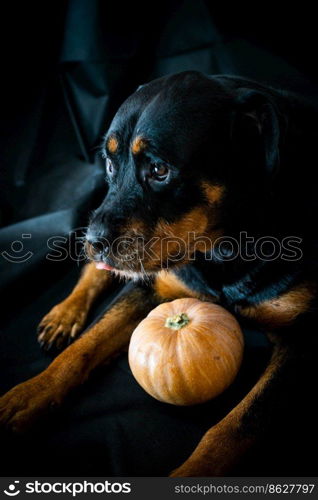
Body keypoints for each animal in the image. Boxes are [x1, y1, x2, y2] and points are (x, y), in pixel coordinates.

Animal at [0, 71, 318, 476]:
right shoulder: (151, 285)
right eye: (109, 163)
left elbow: (237, 426)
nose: (93, 240)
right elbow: (85, 345)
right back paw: (64, 314)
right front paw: (29, 395)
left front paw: (193, 473)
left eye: (160, 170)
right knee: (94, 272)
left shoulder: (303, 343)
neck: (225, 246)